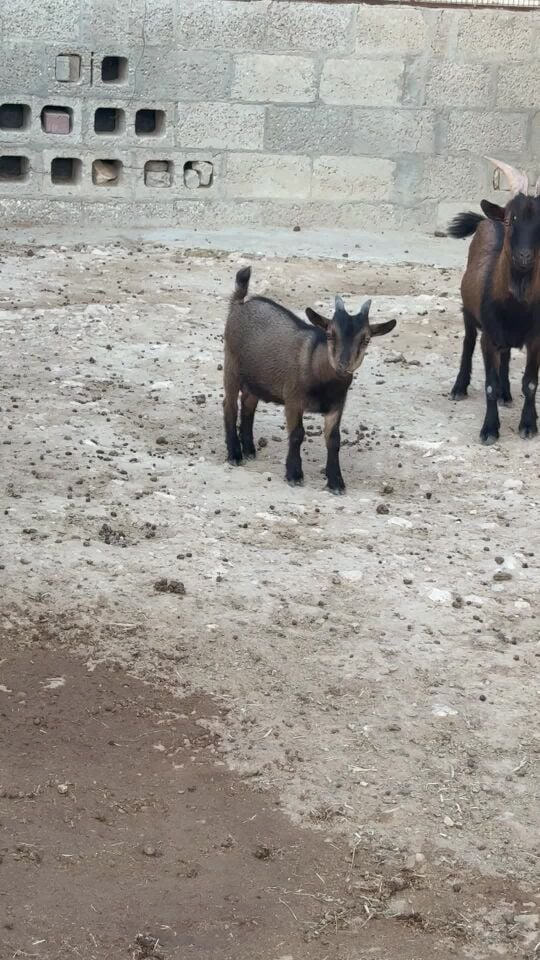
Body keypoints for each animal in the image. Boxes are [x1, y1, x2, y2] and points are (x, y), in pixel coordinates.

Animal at [223, 266, 396, 493]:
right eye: (330, 334)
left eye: (366, 339)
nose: (343, 364)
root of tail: (239, 302)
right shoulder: (293, 400)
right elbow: (297, 434)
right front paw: (294, 474)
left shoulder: (336, 406)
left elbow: (334, 439)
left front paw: (336, 482)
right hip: (232, 365)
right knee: (230, 405)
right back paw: (235, 454)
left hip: (256, 379)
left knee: (248, 405)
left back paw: (249, 449)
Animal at [448, 157, 540, 444]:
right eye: (511, 220)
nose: (524, 257)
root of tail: (487, 220)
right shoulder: (489, 337)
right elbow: (488, 385)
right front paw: (489, 429)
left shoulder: (536, 339)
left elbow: (530, 383)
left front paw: (528, 425)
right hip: (468, 313)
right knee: (467, 343)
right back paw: (459, 387)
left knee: (507, 356)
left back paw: (506, 393)